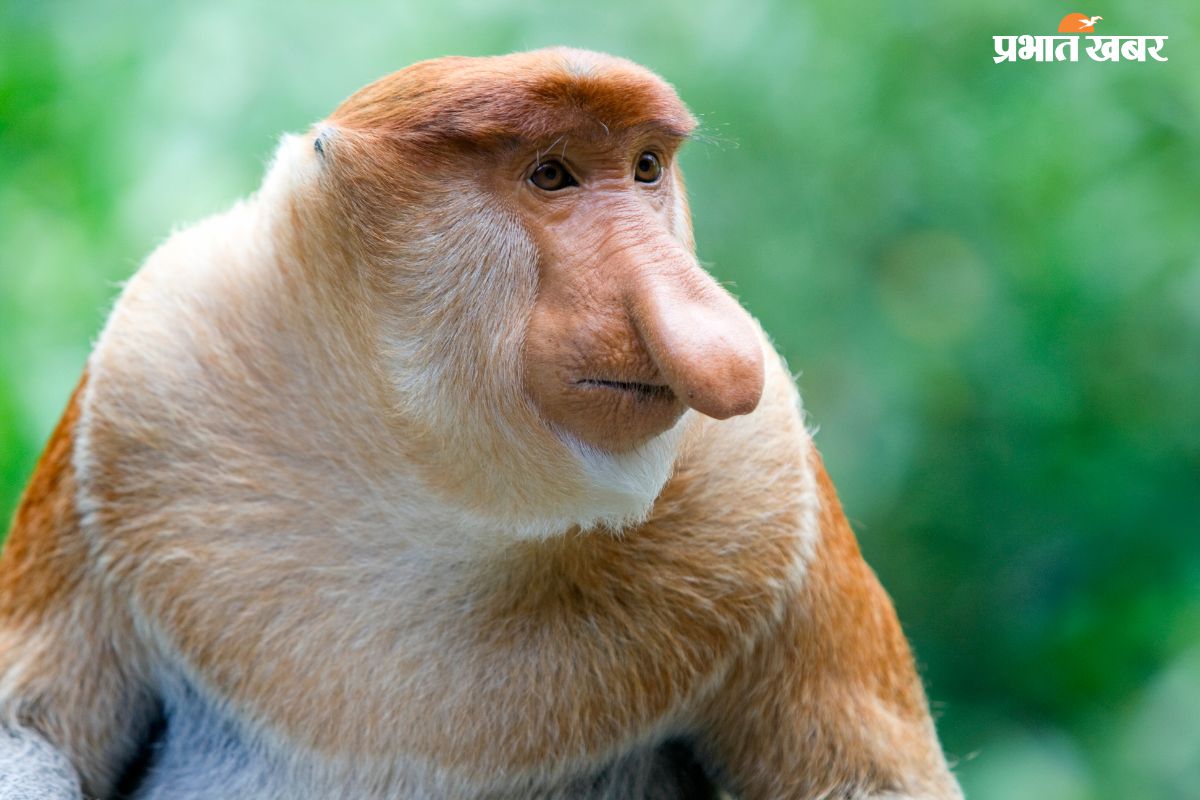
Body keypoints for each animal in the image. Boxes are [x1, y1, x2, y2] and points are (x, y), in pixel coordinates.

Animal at [0, 49, 962, 799]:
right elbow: (30, 731)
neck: (431, 487)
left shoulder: (766, 481)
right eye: (551, 174)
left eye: (646, 167)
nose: (715, 339)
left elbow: (873, 779)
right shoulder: (148, 372)